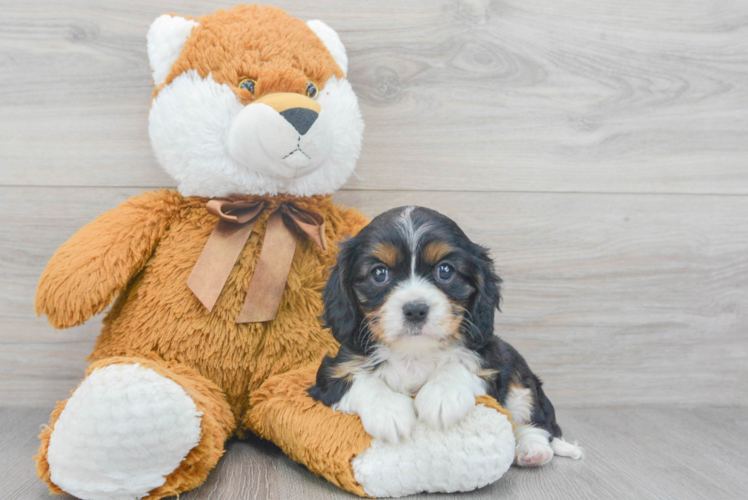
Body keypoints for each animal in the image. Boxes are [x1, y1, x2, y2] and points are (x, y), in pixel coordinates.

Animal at [310, 205, 584, 466]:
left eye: (445, 270)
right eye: (379, 274)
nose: (415, 309)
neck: (415, 352)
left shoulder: (490, 365)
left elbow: (459, 366)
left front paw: (442, 396)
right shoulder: (331, 373)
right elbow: (360, 381)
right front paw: (389, 412)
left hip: (518, 376)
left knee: (536, 419)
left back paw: (533, 450)